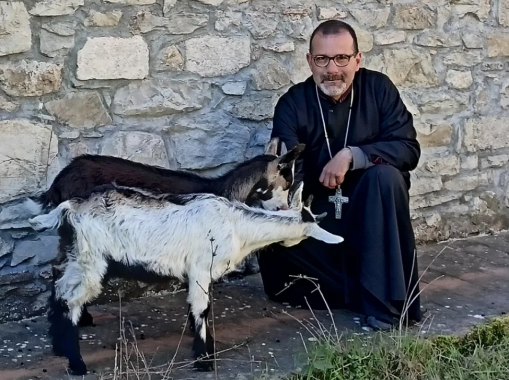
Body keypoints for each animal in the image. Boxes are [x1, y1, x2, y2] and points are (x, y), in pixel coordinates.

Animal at [29, 183, 344, 376]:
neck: (237, 226)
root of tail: (70, 208)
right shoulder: (200, 268)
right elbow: (201, 309)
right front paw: (204, 360)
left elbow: (200, 310)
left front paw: (207, 350)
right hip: (92, 260)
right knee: (71, 299)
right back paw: (77, 363)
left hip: (77, 256)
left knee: (59, 288)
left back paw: (59, 347)